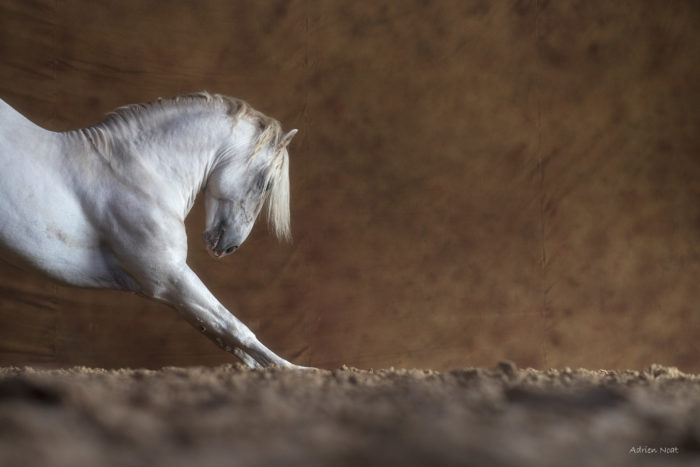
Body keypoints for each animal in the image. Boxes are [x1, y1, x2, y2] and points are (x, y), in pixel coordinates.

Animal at [0, 92, 302, 368]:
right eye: (266, 183)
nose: (229, 247)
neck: (138, 171)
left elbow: (228, 339)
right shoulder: (168, 277)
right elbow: (233, 328)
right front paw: (295, 371)